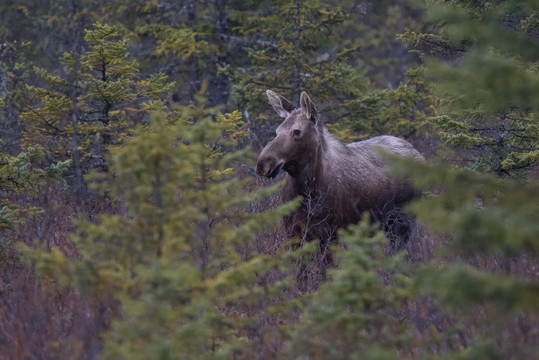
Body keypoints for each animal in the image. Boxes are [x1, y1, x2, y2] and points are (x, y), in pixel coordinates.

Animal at [255, 89, 424, 255]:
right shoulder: (293, 232)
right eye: (277, 131)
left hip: (402, 222)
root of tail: (420, 155)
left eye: (296, 131)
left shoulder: (330, 232)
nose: (263, 163)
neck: (307, 190)